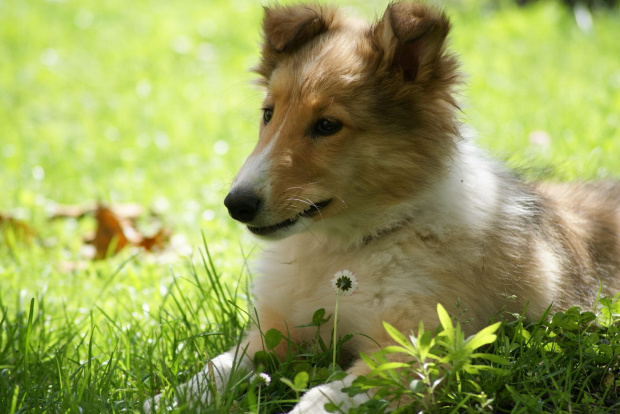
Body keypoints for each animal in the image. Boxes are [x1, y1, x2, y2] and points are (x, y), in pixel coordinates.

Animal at [144, 1, 620, 412]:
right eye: (268, 113)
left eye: (327, 125)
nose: (235, 204)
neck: (347, 247)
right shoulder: (273, 332)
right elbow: (213, 371)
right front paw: (163, 401)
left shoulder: (415, 347)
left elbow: (322, 397)